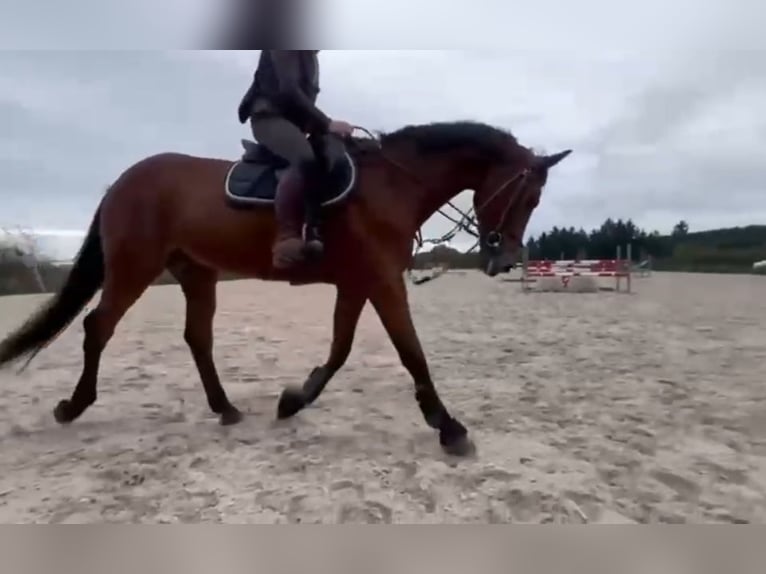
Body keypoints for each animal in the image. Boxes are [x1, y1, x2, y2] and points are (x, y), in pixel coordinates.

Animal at [0, 120, 571, 456]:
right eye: (528, 196)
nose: (505, 259)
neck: (390, 184)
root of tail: (123, 180)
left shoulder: (358, 283)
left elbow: (340, 349)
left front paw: (294, 399)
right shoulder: (383, 282)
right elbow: (411, 352)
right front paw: (449, 428)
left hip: (196, 275)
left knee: (196, 338)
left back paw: (226, 409)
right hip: (134, 268)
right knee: (98, 327)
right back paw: (73, 406)